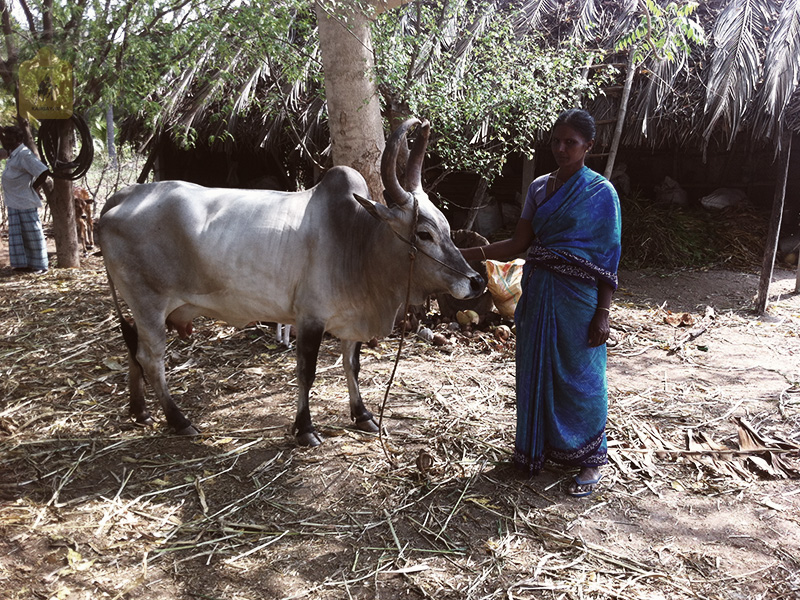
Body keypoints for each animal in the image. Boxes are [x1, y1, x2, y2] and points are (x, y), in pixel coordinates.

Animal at [100, 118, 488, 446]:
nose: (476, 282)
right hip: (149, 304)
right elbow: (307, 372)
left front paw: (363, 415)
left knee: (133, 349)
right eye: (423, 233)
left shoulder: (350, 319)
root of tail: (122, 196)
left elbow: (352, 365)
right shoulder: (310, 318)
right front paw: (304, 429)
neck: (356, 239)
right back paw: (179, 420)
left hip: (148, 309)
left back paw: (140, 411)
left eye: (448, 228)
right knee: (151, 358)